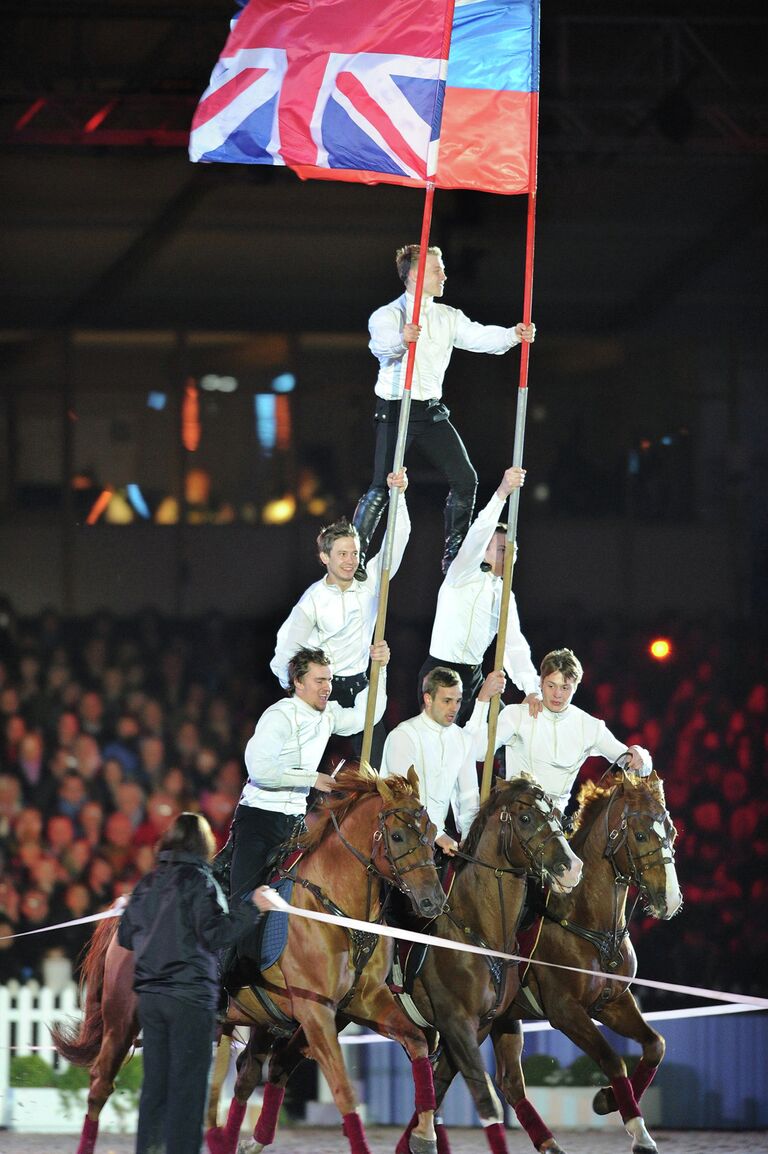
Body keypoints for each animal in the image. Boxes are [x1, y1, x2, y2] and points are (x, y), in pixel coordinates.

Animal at [52, 766, 442, 1154]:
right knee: (101, 1084)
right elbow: (343, 1091)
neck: (334, 912)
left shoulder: (365, 1002)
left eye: (432, 832)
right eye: (396, 836)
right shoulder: (316, 1013)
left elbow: (419, 1042)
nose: (432, 902)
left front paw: (424, 1135)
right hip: (122, 1021)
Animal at [389, 775, 581, 1154]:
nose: (572, 868)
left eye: (555, 814)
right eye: (526, 818)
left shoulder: (477, 1027)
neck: (476, 930)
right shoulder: (456, 1021)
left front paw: (419, 1139)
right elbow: (483, 1094)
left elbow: (442, 1083)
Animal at [486, 766, 678, 1154]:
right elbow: (613, 1060)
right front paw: (637, 1130)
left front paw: (608, 1099)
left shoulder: (613, 1002)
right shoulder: (565, 1012)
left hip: (503, 1019)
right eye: (639, 834)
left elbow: (655, 1046)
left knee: (508, 1083)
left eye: (672, 832)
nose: (671, 899)